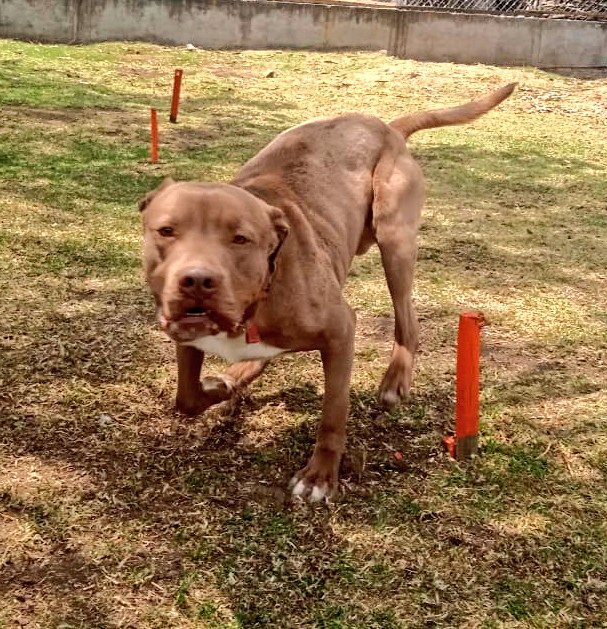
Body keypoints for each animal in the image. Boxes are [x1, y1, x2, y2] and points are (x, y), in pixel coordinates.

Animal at [140, 83, 516, 502]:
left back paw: (394, 382)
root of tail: (387, 127)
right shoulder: (186, 336)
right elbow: (187, 397)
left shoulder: (340, 332)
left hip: (395, 238)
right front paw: (221, 385)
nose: (197, 280)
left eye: (240, 239)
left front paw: (320, 476)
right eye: (166, 231)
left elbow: (333, 413)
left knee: (407, 319)